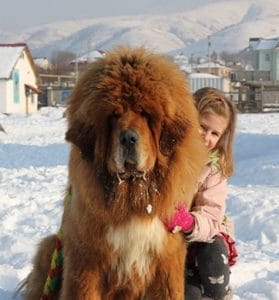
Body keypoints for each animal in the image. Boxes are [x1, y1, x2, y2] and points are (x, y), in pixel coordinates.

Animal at [22, 47, 208, 300]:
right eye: (113, 116)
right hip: (50, 246)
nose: (128, 138)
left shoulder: (165, 260)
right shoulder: (86, 259)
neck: (131, 195)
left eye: (145, 114)